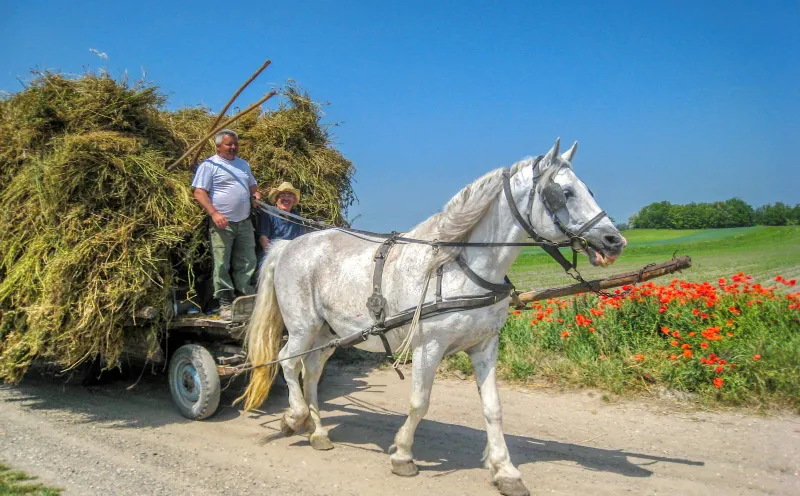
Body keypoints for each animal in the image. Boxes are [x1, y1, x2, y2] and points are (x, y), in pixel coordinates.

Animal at [238, 139, 624, 496]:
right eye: (563, 193)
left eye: (588, 189)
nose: (614, 240)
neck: (459, 266)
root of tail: (290, 245)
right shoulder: (429, 347)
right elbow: (419, 403)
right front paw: (402, 455)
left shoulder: (485, 345)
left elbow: (493, 408)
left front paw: (505, 471)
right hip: (302, 327)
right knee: (288, 362)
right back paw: (295, 417)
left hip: (327, 333)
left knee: (312, 372)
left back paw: (318, 432)